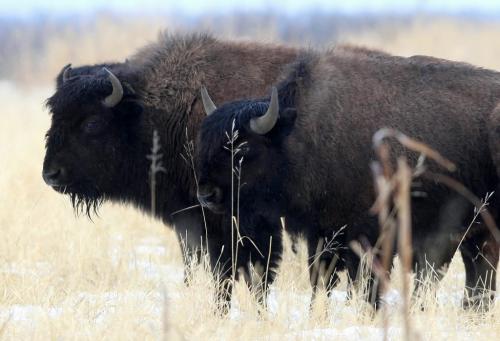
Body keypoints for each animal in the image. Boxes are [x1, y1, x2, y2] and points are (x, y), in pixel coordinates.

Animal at [195, 49, 500, 308]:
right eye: (206, 144)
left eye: (242, 148)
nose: (206, 195)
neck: (297, 136)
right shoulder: (321, 233)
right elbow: (321, 279)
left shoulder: (372, 236)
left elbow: (367, 284)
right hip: (476, 236)